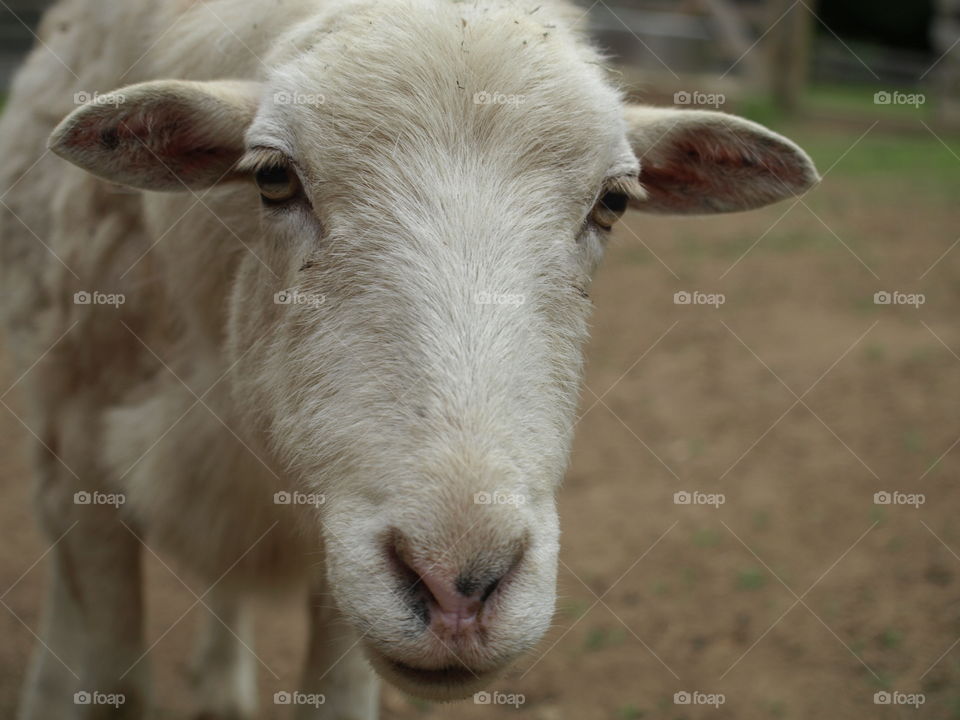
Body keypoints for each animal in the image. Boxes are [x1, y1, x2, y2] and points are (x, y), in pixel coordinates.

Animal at [0, 0, 818, 717]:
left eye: (612, 203)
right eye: (272, 176)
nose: (460, 592)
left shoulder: (341, 532)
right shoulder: (81, 463)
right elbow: (115, 681)